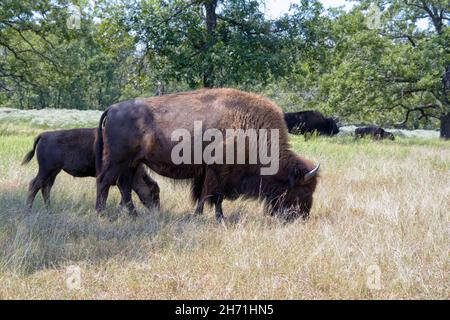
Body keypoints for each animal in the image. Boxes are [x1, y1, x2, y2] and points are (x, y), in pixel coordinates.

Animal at [22, 127, 161, 212]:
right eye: (154, 192)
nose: (157, 210)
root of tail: (44, 135)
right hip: (46, 170)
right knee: (34, 185)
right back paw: (28, 210)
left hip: (53, 172)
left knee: (46, 187)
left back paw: (49, 208)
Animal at [95, 88, 320, 222]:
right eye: (304, 190)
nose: (303, 216)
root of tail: (113, 108)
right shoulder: (218, 172)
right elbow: (211, 196)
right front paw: (213, 218)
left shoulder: (208, 173)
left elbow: (208, 196)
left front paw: (209, 216)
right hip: (118, 161)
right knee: (104, 181)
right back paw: (100, 212)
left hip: (132, 163)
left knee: (125, 186)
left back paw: (132, 215)